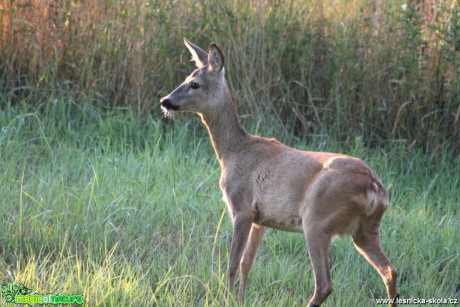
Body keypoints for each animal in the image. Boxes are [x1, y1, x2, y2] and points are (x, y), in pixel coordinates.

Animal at [160, 39, 398, 307]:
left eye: (194, 84)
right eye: (186, 78)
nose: (165, 101)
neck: (232, 152)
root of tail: (375, 189)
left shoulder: (241, 207)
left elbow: (232, 265)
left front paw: (227, 299)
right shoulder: (259, 218)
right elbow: (247, 264)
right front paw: (241, 300)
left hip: (317, 220)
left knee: (324, 284)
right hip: (366, 229)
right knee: (390, 271)